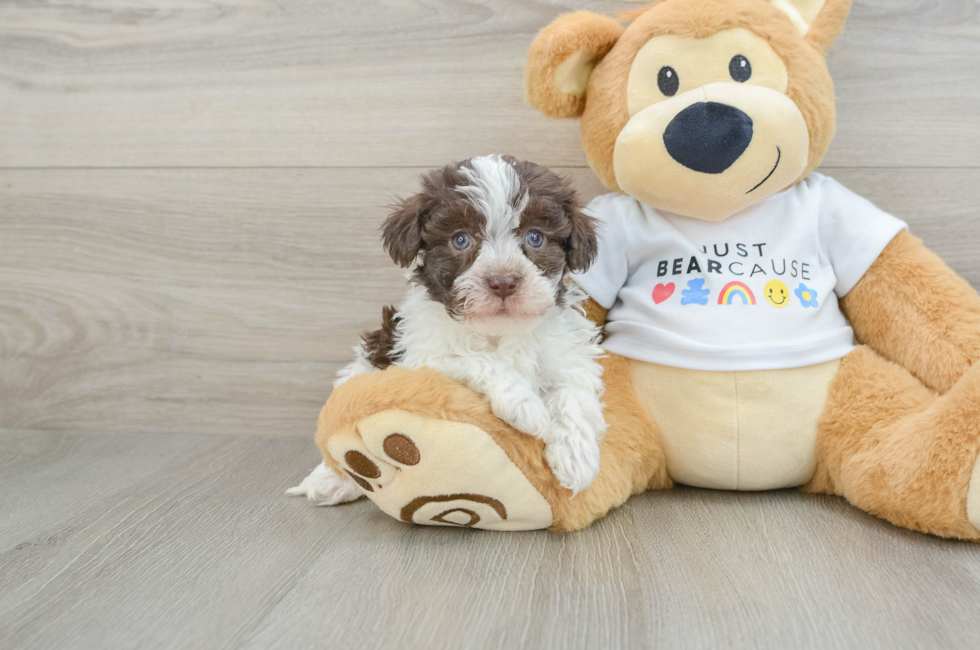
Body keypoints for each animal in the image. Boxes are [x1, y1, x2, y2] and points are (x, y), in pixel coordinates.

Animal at [288, 154, 604, 504]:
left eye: (535, 237)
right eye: (460, 240)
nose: (503, 282)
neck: (499, 331)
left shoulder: (566, 355)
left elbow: (573, 394)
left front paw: (577, 458)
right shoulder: (421, 354)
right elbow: (474, 358)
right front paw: (526, 407)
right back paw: (331, 480)